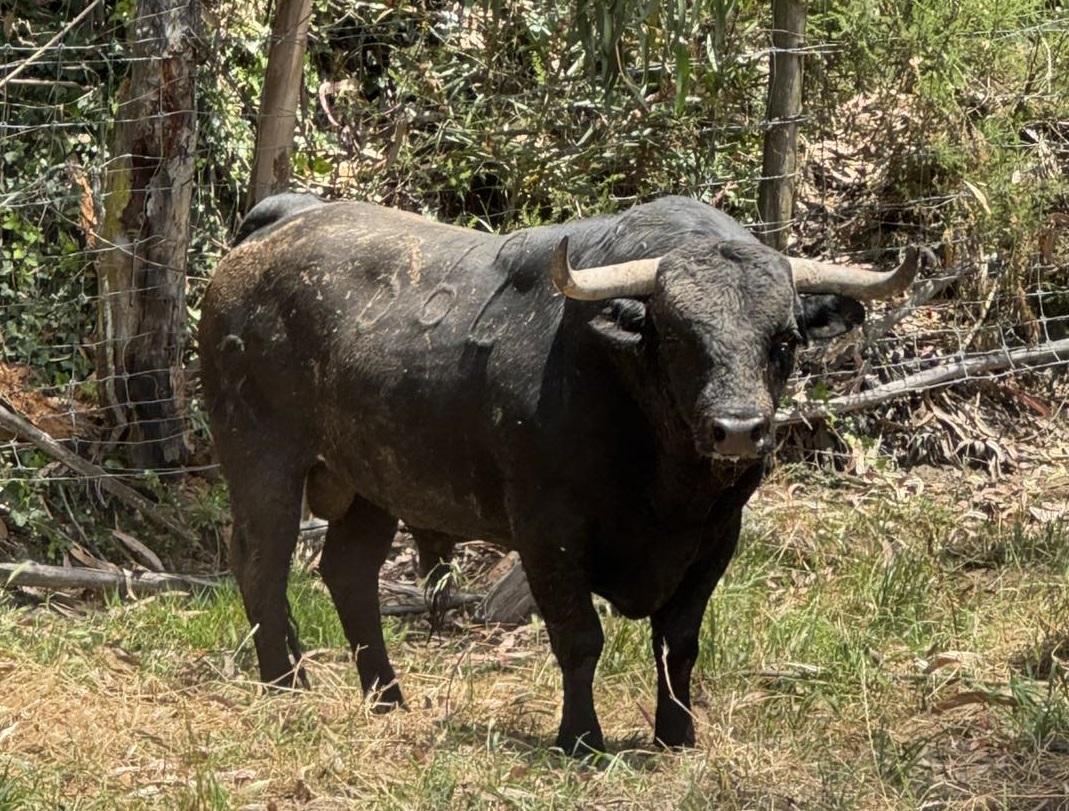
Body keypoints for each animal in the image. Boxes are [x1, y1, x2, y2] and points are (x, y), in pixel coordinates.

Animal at [200, 194, 921, 754]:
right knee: (262, 565)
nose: (739, 429)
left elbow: (678, 643)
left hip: (370, 483)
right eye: (677, 335)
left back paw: (387, 697)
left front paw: (676, 733)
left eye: (784, 340)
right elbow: (579, 639)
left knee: (347, 574)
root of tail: (282, 220)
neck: (667, 481)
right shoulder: (548, 535)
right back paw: (284, 683)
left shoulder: (716, 538)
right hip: (261, 460)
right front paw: (580, 736)